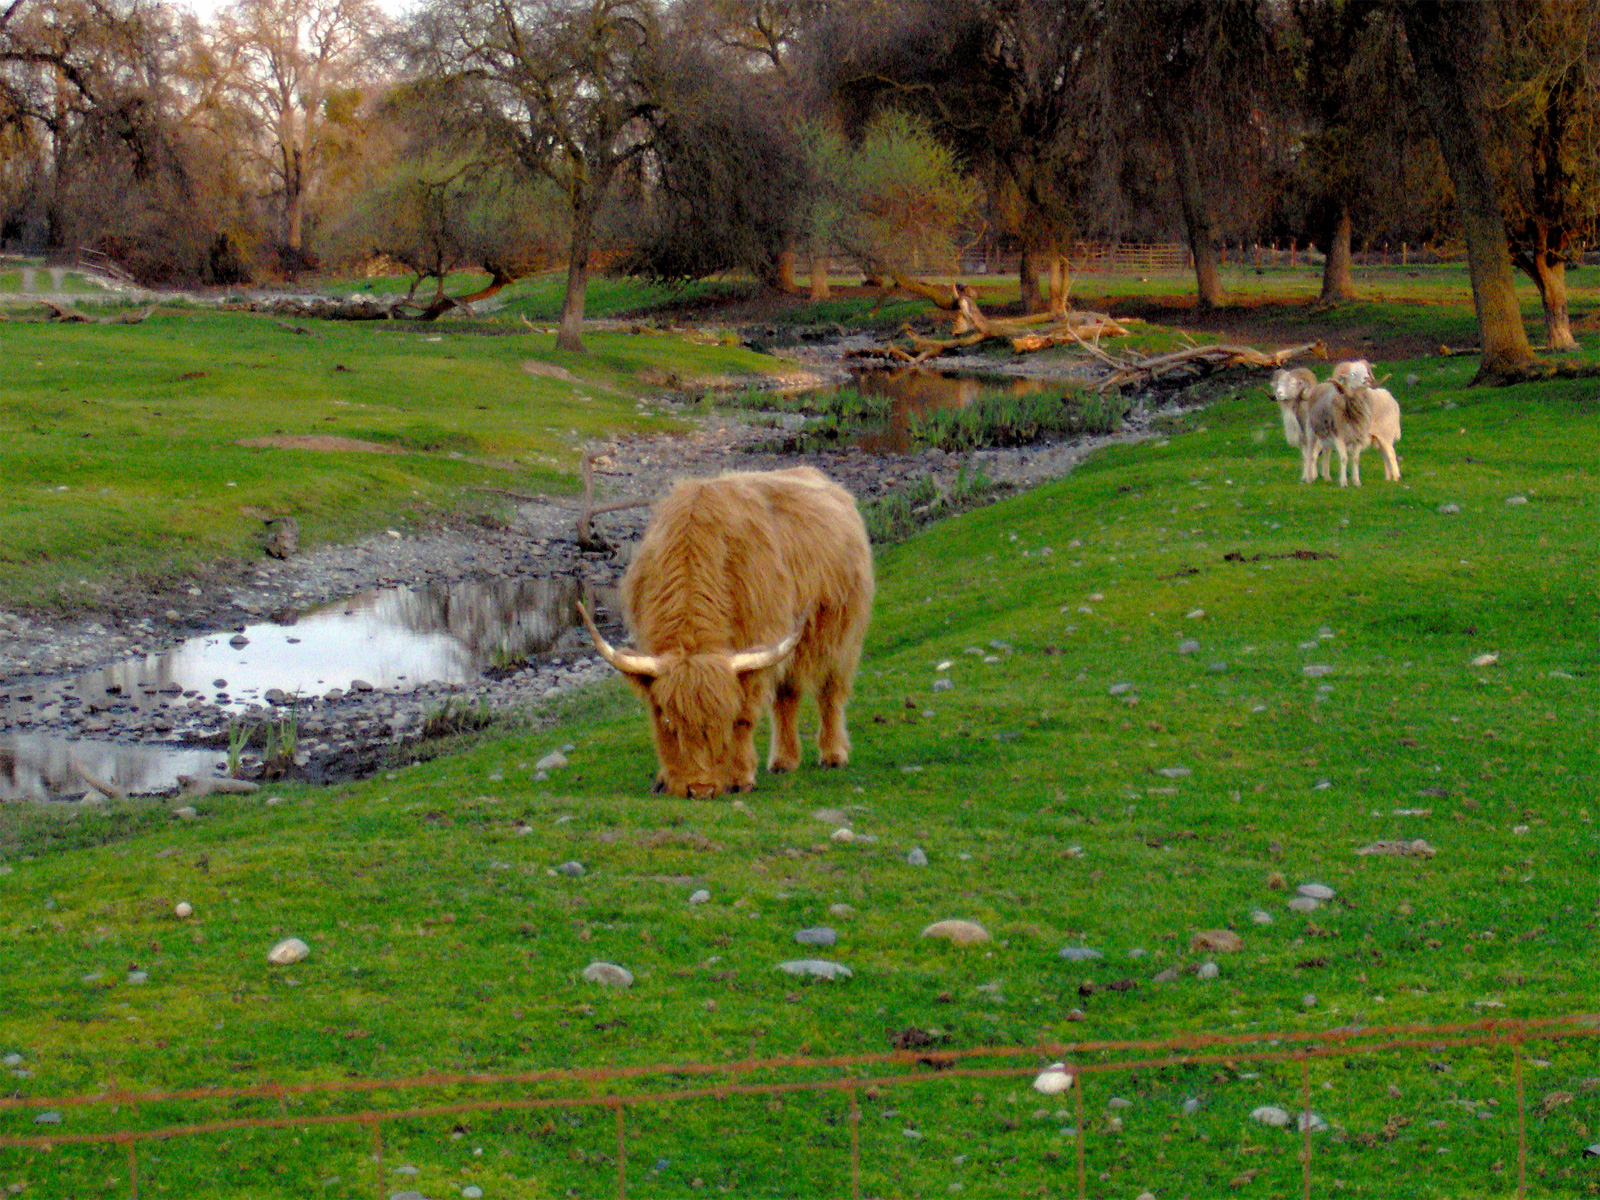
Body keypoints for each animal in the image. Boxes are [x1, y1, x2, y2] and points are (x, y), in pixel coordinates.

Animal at [578, 467, 874, 799]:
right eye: (668, 721)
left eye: (723, 720)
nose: (700, 788)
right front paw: (664, 780)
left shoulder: (759, 646)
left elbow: (746, 715)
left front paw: (740, 777)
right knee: (788, 697)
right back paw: (784, 761)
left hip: (842, 637)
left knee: (831, 693)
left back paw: (833, 754)